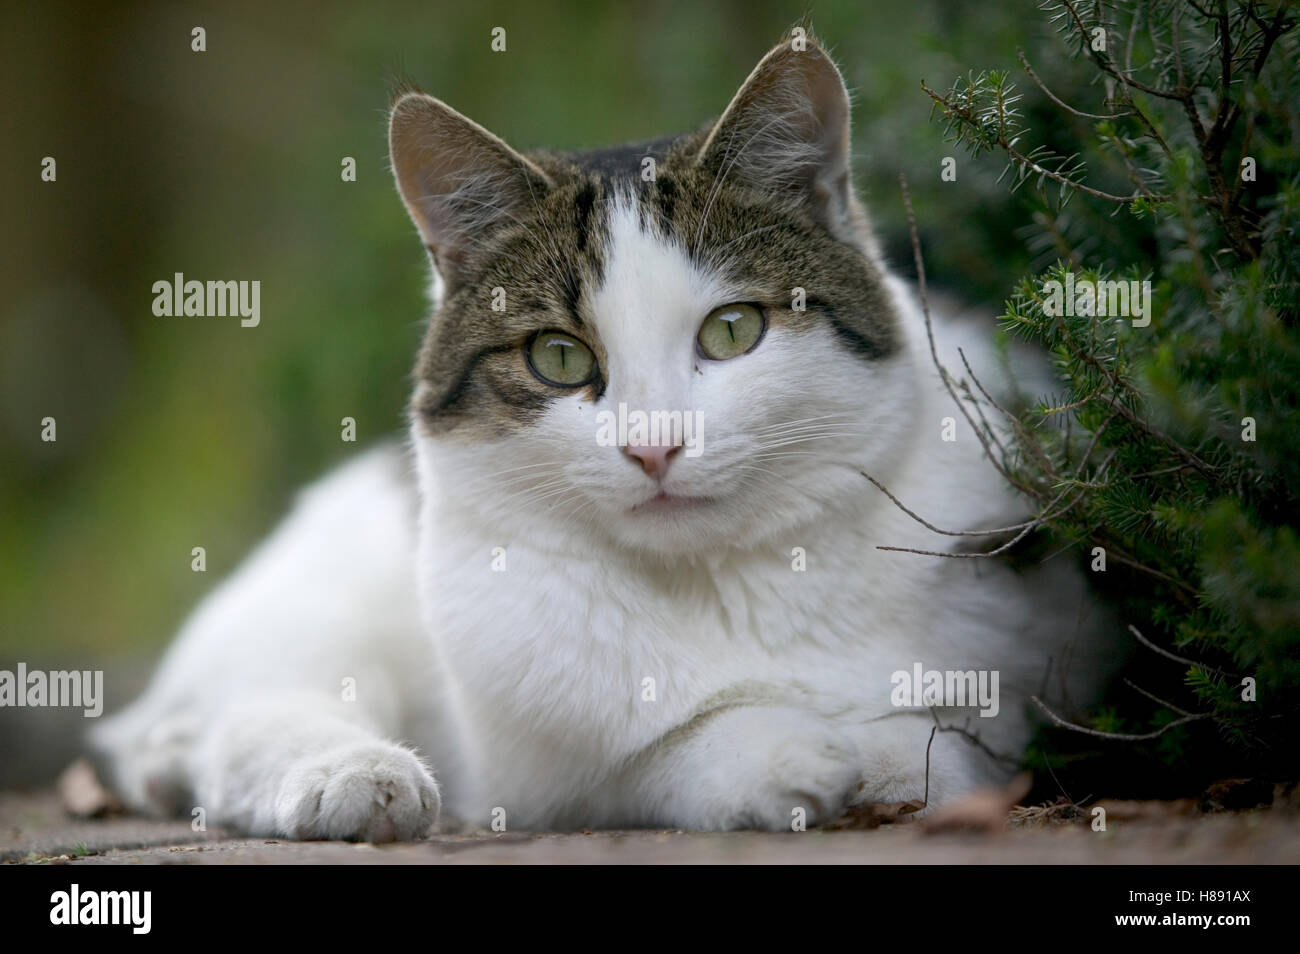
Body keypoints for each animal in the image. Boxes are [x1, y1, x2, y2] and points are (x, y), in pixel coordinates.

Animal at [91, 33, 1112, 842]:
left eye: (732, 331)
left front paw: (882, 748)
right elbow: (653, 752)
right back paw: (344, 776)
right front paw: (779, 750)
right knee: (243, 719)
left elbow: (938, 736)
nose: (654, 447)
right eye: (557, 357)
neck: (726, 586)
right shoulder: (532, 770)